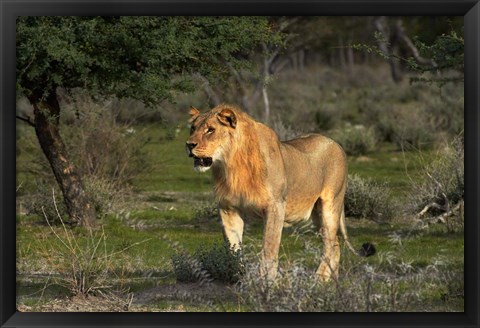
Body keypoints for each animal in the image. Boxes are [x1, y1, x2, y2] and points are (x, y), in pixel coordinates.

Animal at [186, 104, 374, 280]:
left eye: (210, 130)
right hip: (317, 214)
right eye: (193, 128)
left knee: (331, 244)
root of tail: (335, 143)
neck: (230, 165)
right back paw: (329, 279)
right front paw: (240, 277)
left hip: (331, 205)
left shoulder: (275, 206)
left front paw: (266, 281)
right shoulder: (228, 209)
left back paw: (318, 279)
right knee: (335, 245)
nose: (189, 145)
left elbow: (269, 248)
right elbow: (233, 249)